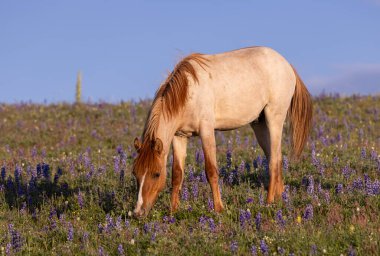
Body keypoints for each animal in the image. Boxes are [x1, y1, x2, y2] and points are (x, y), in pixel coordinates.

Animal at [131, 46, 312, 218]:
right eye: (135, 172)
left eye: (156, 174)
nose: (138, 212)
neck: (188, 91)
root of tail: (286, 64)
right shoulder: (179, 136)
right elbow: (177, 174)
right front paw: (173, 211)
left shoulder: (206, 131)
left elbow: (211, 171)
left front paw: (218, 208)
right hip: (259, 125)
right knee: (276, 157)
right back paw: (279, 199)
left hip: (274, 119)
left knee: (274, 160)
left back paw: (268, 202)